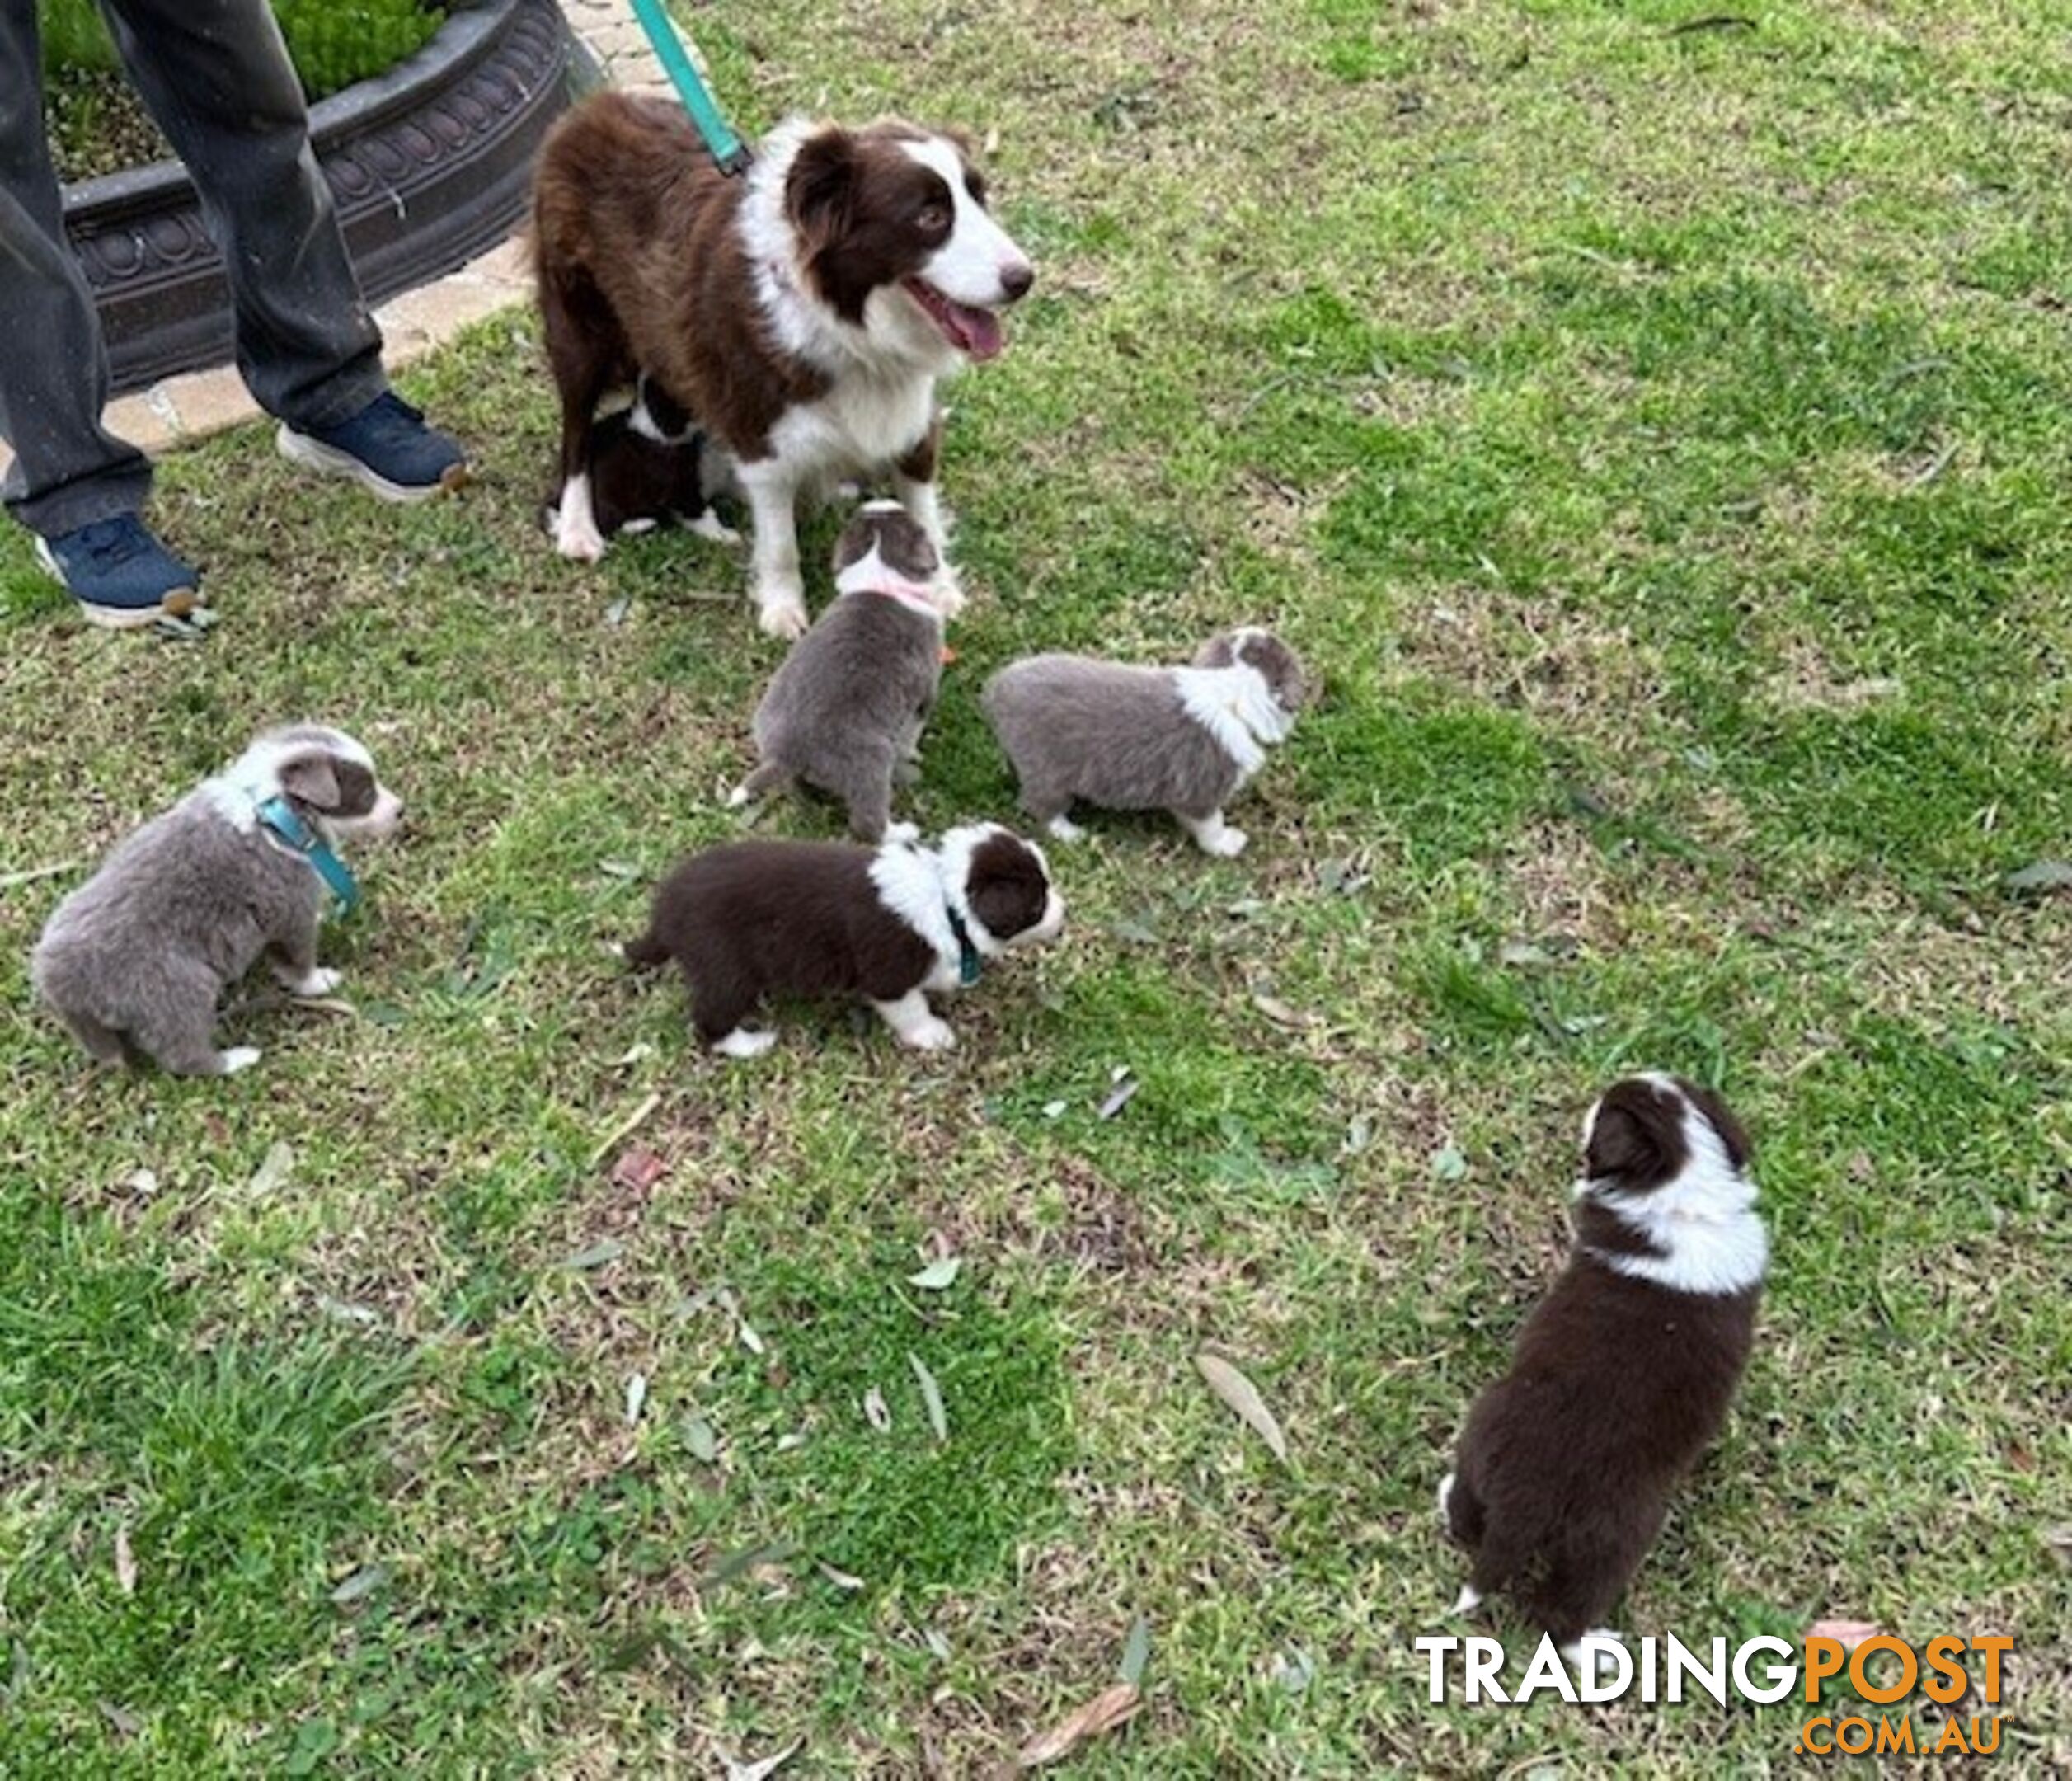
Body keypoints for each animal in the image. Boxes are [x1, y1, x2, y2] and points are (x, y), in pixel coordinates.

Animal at [32, 721, 402, 1069]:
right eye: (366, 791)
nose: (402, 809)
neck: (276, 814)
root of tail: (58, 977)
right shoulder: (290, 909)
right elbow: (298, 958)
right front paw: (320, 981)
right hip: (177, 990)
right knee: (183, 1055)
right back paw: (236, 1060)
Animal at [621, 824, 1060, 1055]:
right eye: (1037, 904)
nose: (1064, 911)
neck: (943, 894)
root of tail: (666, 911)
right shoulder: (888, 975)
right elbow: (910, 1007)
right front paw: (932, 1035)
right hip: (725, 969)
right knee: (709, 1019)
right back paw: (751, 1044)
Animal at [978, 625, 1301, 857]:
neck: (1230, 692)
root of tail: (998, 687)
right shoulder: (1201, 793)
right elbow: (1211, 825)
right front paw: (1226, 844)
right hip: (1048, 775)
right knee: (1041, 808)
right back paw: (1071, 833)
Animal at [1442, 1069, 1765, 1673]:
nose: (1594, 1095)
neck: (1683, 1191)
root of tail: (1526, 1502)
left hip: (1490, 1437)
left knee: (1478, 1533)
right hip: (1610, 1541)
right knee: (1554, 1605)